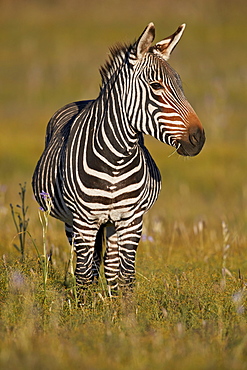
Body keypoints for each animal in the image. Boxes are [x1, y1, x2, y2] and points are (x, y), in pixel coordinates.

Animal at [32, 23, 205, 294]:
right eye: (156, 86)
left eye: (180, 85)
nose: (199, 138)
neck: (116, 161)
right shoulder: (84, 221)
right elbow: (84, 276)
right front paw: (87, 306)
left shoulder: (132, 220)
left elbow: (126, 277)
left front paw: (123, 307)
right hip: (72, 223)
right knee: (90, 266)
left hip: (112, 223)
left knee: (111, 266)